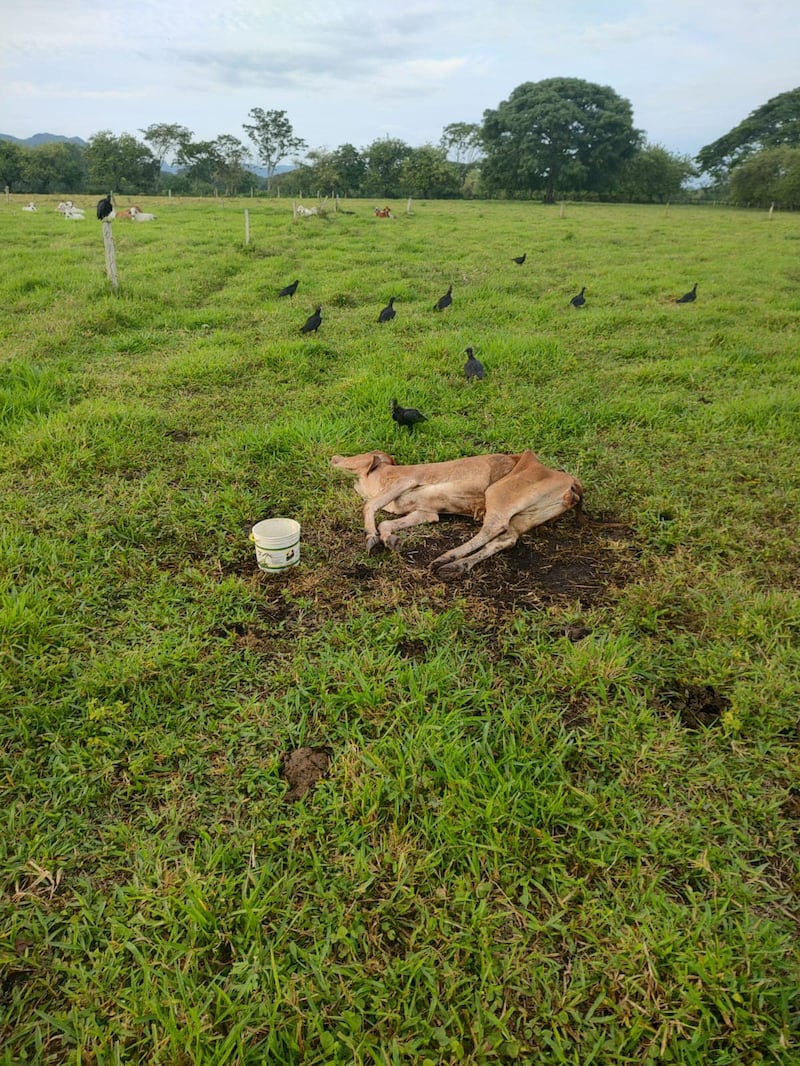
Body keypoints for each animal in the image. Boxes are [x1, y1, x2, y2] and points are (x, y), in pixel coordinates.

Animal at [328, 449, 584, 584]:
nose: (334, 458)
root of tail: (571, 480)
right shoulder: (427, 512)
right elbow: (387, 521)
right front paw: (390, 539)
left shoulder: (407, 480)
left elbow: (370, 506)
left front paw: (372, 538)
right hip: (524, 516)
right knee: (504, 539)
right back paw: (456, 566)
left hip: (499, 494)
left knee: (492, 529)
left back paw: (446, 558)